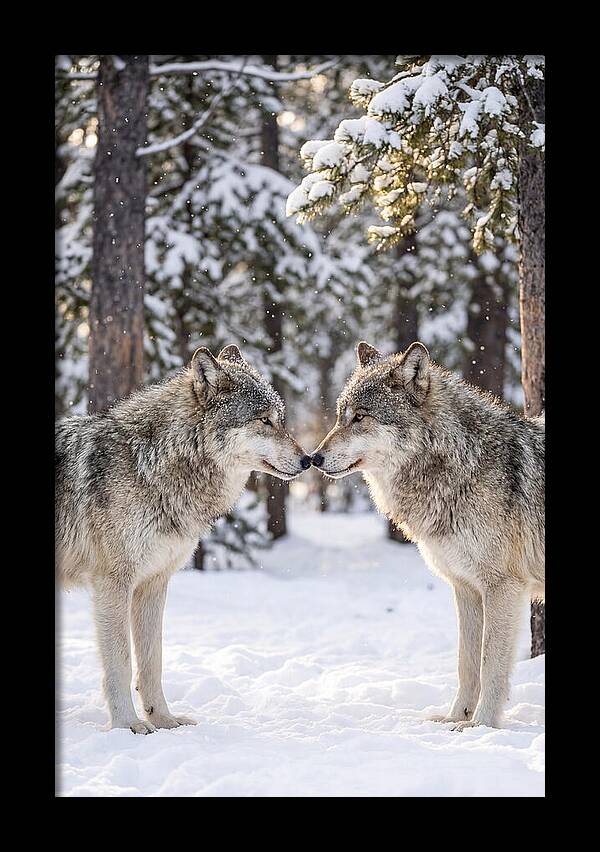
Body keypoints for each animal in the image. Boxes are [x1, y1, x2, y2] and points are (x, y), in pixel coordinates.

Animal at [56, 344, 311, 733]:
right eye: (264, 420)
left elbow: (152, 661)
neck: (151, 464)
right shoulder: (113, 584)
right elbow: (121, 661)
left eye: (281, 420)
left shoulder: (154, 583)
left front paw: (163, 719)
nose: (309, 459)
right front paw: (127, 725)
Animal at [311, 341, 544, 730]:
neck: (462, 464)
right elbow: (466, 663)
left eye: (360, 417)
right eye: (341, 416)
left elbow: (490, 665)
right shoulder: (465, 588)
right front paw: (455, 718)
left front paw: (481, 725)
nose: (313, 458)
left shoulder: (503, 587)